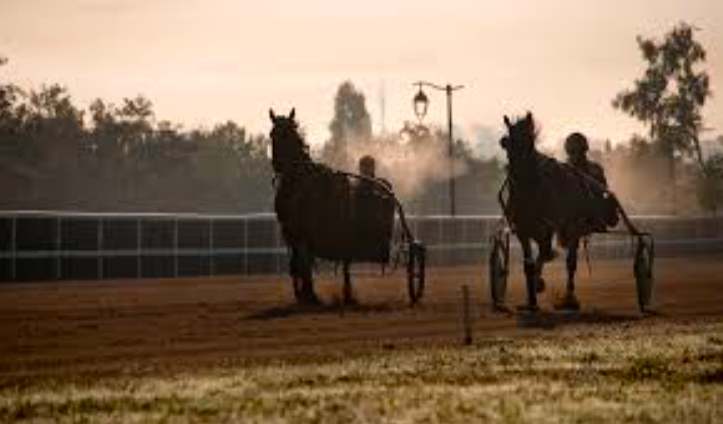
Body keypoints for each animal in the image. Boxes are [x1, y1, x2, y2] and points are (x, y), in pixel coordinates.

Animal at [268, 107, 404, 304]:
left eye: (290, 133)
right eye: (272, 134)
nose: (277, 165)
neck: (298, 185)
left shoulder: (305, 233)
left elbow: (305, 264)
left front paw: (310, 294)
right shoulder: (289, 233)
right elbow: (295, 265)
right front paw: (301, 294)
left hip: (343, 233)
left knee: (345, 261)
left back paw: (347, 293)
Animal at [498, 112, 624, 312]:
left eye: (530, 143)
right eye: (509, 143)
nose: (521, 172)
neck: (529, 194)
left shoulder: (548, 227)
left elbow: (545, 253)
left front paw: (539, 284)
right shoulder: (523, 231)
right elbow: (529, 265)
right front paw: (531, 302)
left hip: (575, 227)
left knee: (570, 263)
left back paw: (569, 299)